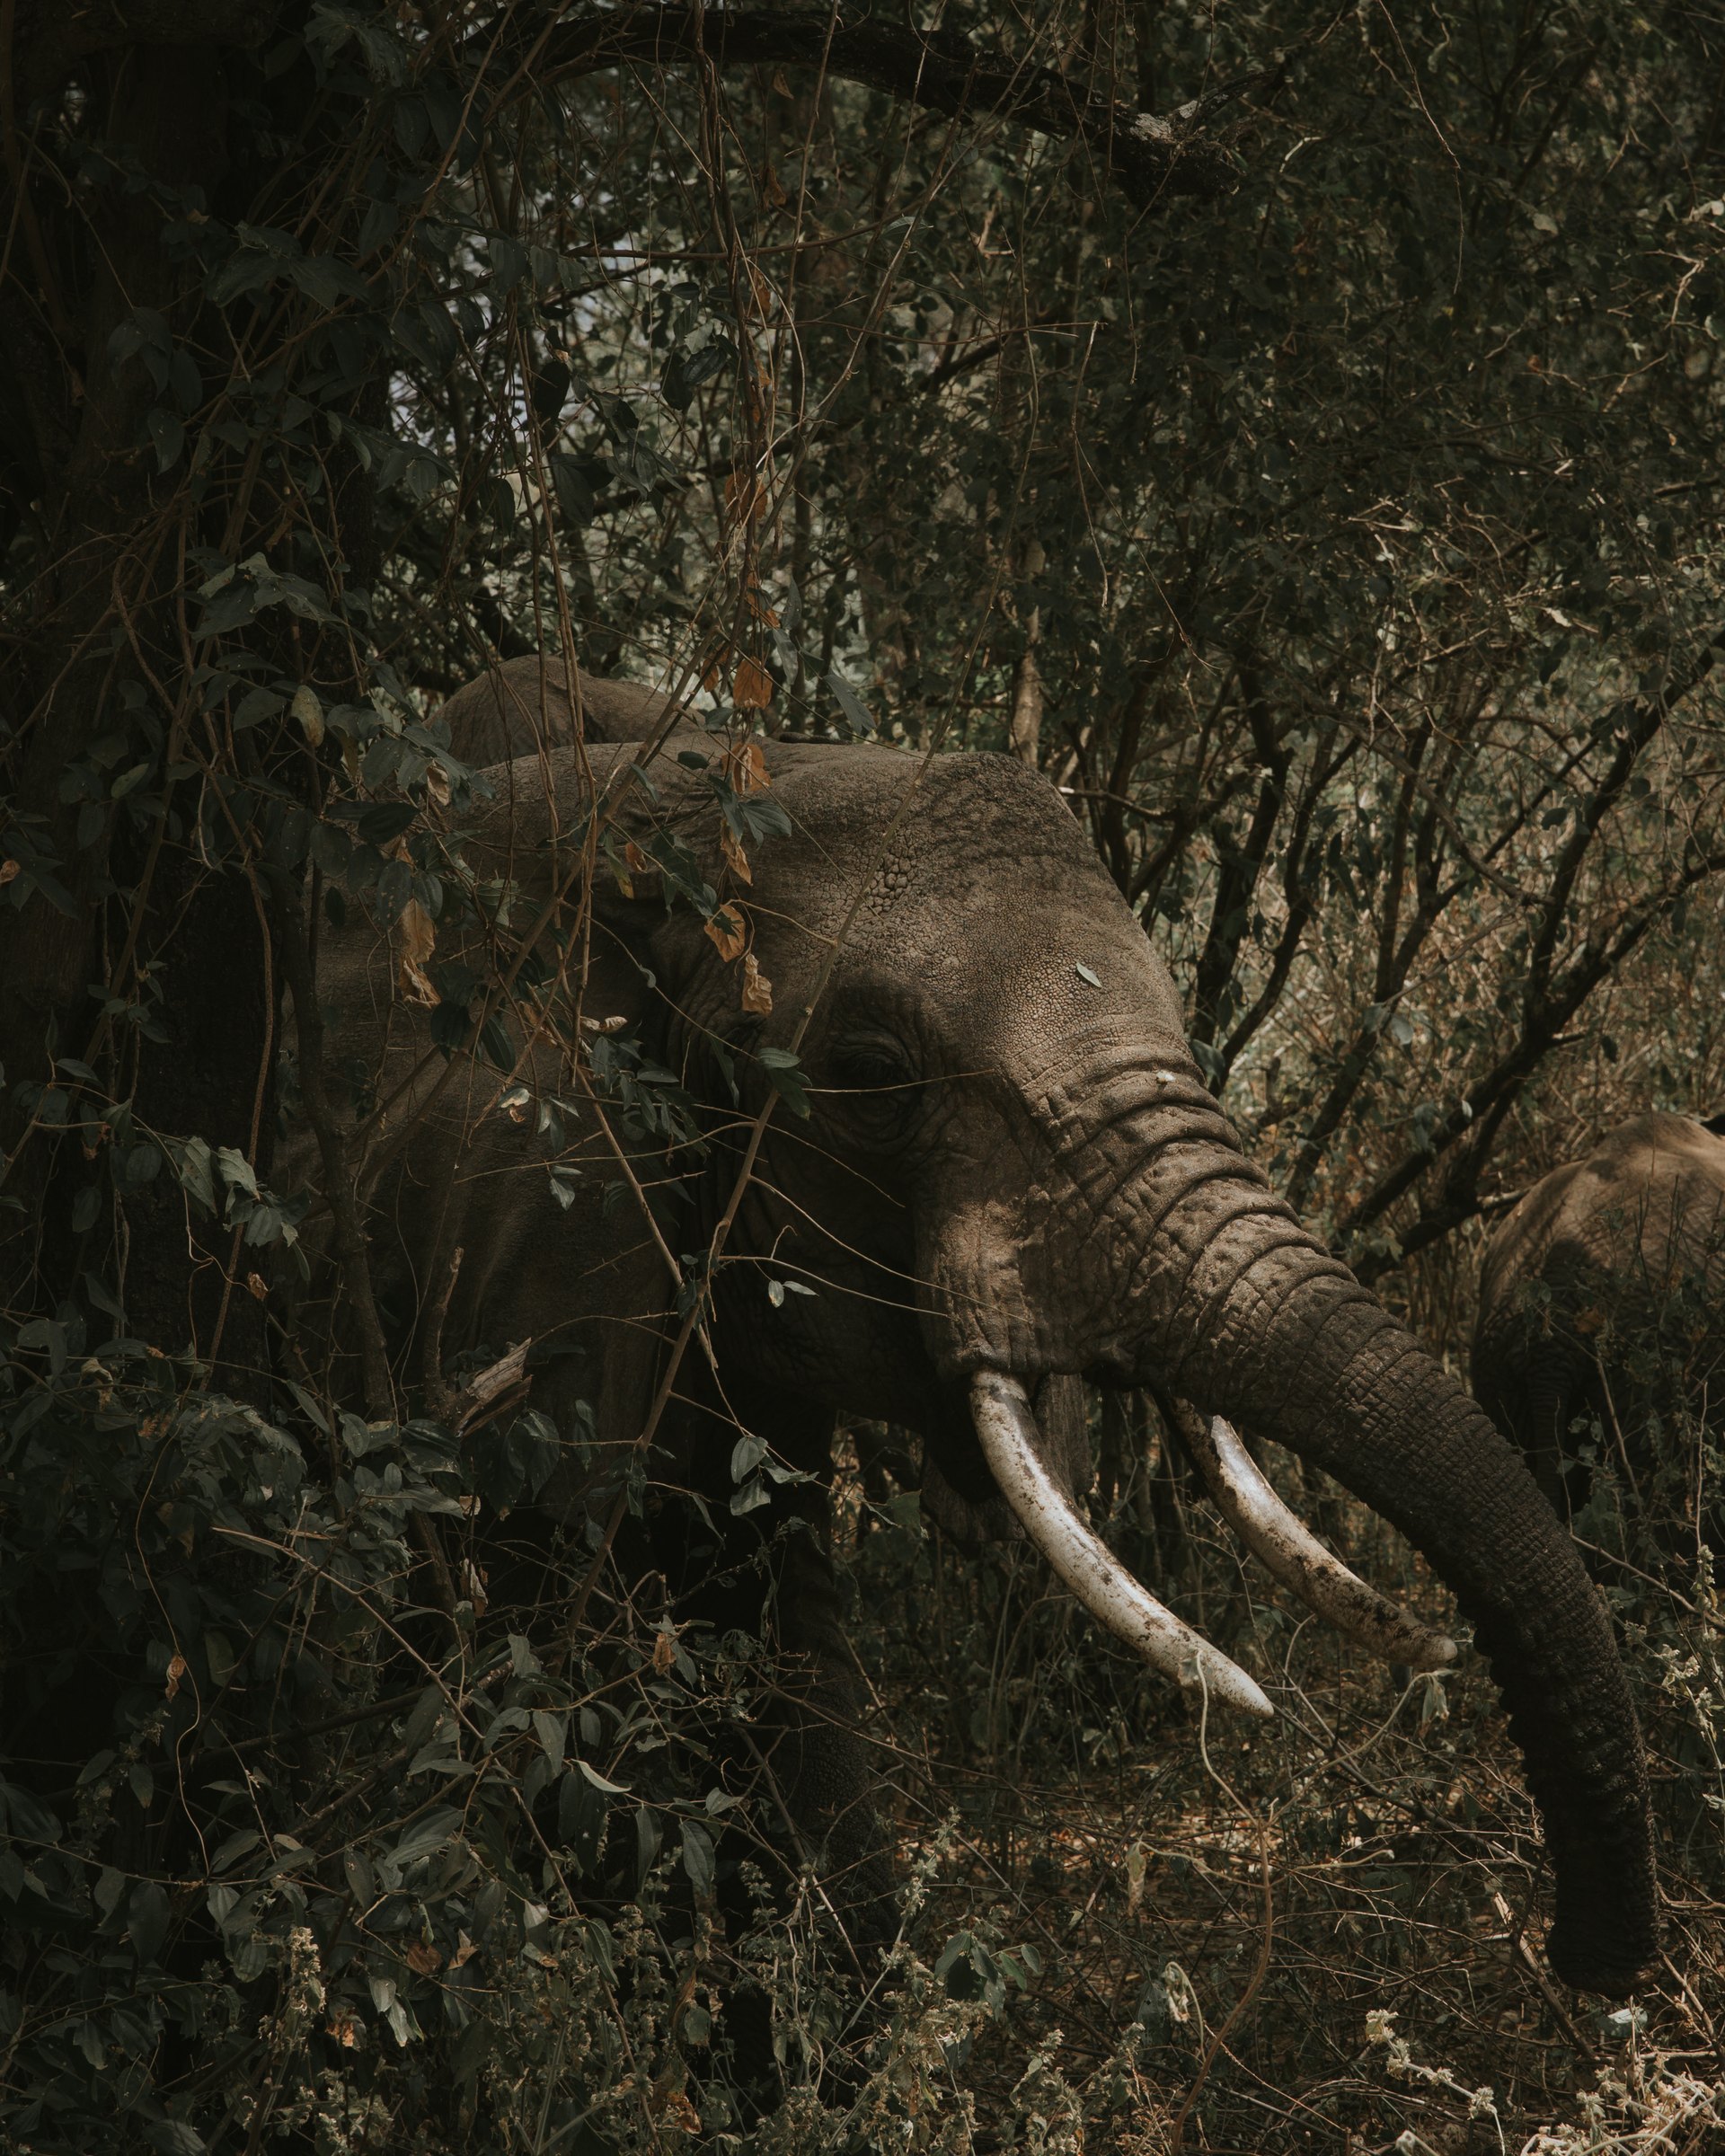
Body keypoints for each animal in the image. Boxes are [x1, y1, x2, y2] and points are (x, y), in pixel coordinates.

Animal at [281, 655, 1658, 2002]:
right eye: (872, 1075)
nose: (1588, 1967)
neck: (659, 793)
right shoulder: (502, 1227)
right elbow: (542, 1720)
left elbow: (784, 1665)